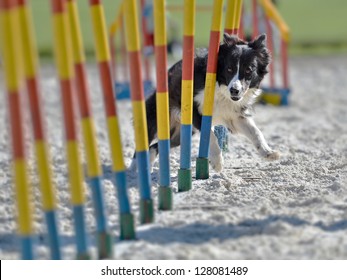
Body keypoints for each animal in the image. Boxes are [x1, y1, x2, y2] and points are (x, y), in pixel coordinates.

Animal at [137, 34, 278, 172]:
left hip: (183, 133)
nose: (234, 90)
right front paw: (217, 162)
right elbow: (209, 135)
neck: (220, 89)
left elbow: (255, 131)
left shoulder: (234, 116)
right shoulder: (195, 110)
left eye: (249, 70)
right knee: (144, 145)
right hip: (156, 116)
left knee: (156, 146)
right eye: (229, 69)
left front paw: (268, 152)